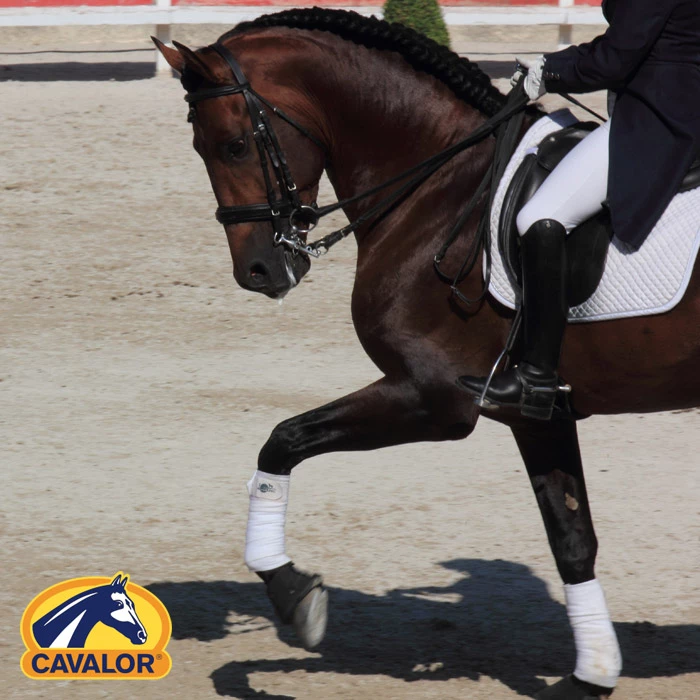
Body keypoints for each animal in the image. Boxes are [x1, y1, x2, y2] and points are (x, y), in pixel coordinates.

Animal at [153, 8, 700, 699]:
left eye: (231, 145)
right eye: (202, 149)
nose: (258, 272)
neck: (441, 186)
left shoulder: (434, 397)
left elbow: (282, 440)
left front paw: (293, 595)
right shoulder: (536, 412)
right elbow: (572, 538)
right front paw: (592, 675)